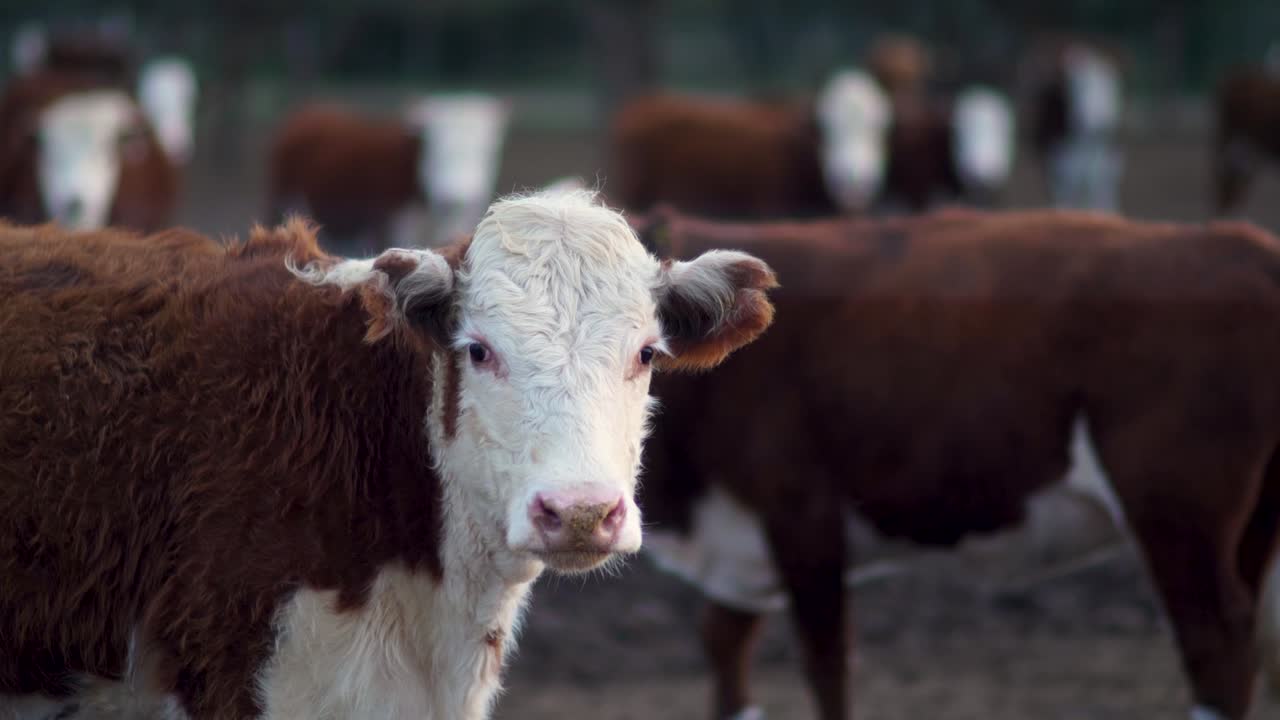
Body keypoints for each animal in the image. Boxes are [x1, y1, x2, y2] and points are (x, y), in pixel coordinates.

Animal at [633, 208, 1280, 720]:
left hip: (1175, 510)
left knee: (1215, 641)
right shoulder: (740, 540)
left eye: (642, 343)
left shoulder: (802, 513)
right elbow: (725, 652)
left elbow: (825, 664)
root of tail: (1245, 245)